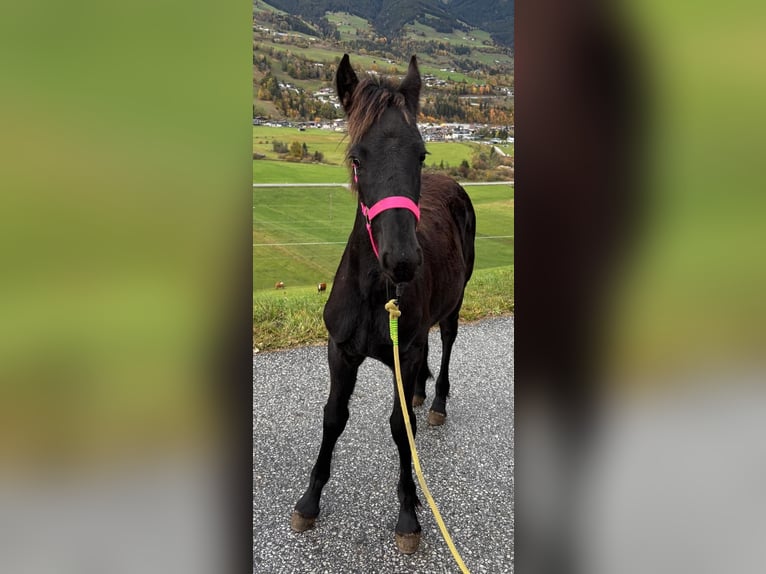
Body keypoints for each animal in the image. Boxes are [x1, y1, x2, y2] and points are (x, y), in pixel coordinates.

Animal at [291, 54, 476, 555]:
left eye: (421, 154)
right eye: (357, 157)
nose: (404, 260)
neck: (376, 291)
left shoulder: (403, 352)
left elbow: (400, 428)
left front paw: (409, 513)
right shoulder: (341, 350)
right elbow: (333, 417)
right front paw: (309, 501)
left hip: (455, 302)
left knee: (445, 341)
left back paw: (436, 400)